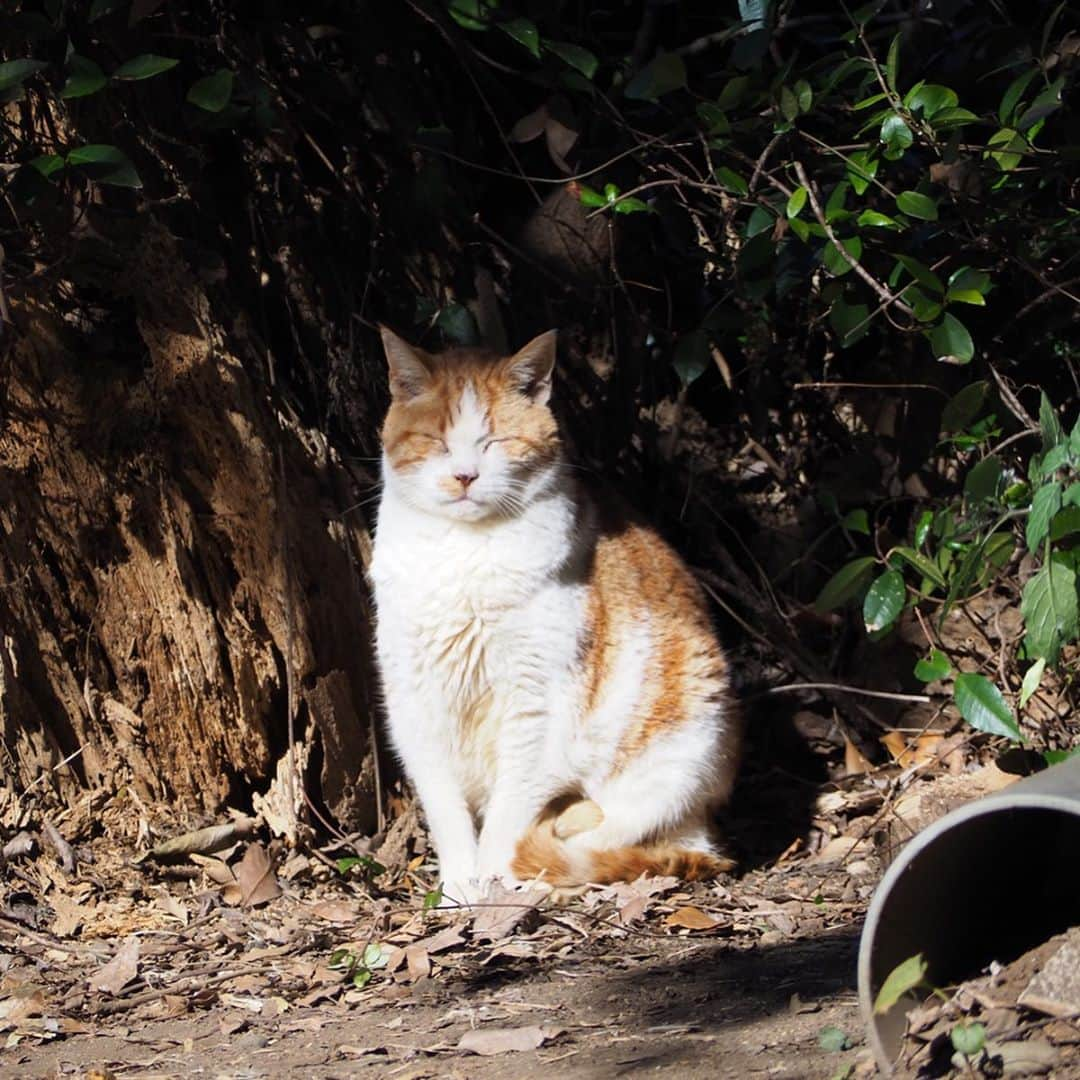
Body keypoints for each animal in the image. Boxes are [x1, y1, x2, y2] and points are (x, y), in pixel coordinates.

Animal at [371, 324, 743, 898]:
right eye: (437, 442)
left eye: (494, 442)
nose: (464, 476)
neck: (462, 555)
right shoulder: (413, 701)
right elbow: (445, 808)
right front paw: (459, 887)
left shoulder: (537, 705)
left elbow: (510, 812)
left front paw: (493, 881)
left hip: (688, 740)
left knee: (622, 836)